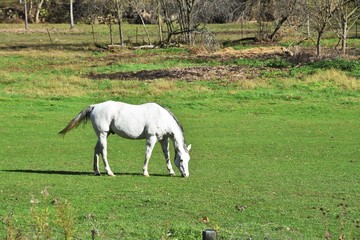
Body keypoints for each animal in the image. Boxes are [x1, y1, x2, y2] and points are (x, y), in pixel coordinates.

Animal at [59, 100, 191, 177]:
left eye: (188, 160)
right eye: (182, 160)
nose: (186, 175)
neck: (160, 116)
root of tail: (95, 106)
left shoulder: (163, 139)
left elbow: (167, 155)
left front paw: (171, 171)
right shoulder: (151, 138)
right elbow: (148, 154)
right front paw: (145, 172)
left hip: (104, 135)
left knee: (96, 150)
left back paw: (97, 171)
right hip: (103, 135)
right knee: (103, 152)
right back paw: (109, 172)